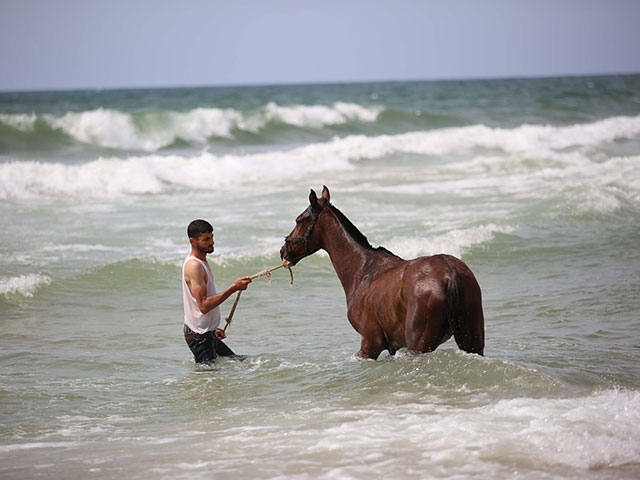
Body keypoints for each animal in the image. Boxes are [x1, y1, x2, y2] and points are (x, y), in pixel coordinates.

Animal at [280, 186, 484, 358]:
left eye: (299, 220)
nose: (283, 251)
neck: (363, 269)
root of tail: (450, 274)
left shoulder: (370, 344)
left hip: (418, 346)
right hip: (472, 341)